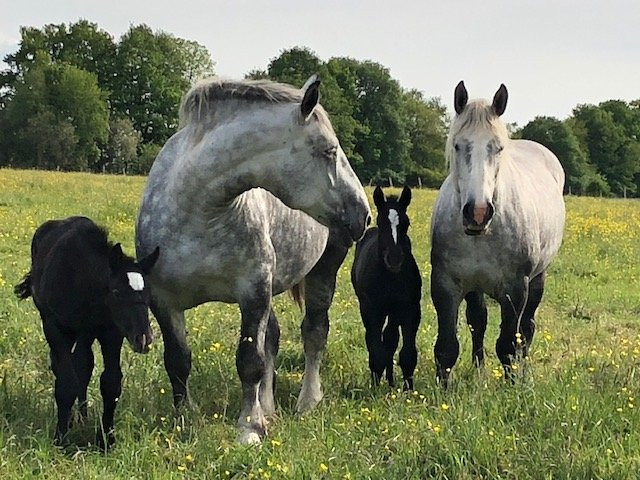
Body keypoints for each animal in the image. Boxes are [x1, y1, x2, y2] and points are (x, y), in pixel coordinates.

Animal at [15, 218, 158, 446]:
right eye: (116, 292)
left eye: (149, 294)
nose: (144, 337)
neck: (80, 277)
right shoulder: (55, 329)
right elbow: (65, 382)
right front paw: (60, 438)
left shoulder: (111, 333)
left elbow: (110, 382)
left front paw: (106, 439)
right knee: (64, 366)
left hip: (86, 334)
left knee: (83, 365)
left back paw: (82, 417)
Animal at [350, 187, 420, 390]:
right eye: (381, 222)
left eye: (406, 223)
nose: (394, 259)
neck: (390, 278)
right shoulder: (373, 310)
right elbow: (376, 348)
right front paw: (375, 384)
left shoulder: (410, 309)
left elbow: (407, 352)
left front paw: (408, 389)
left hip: (394, 312)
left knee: (390, 338)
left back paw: (390, 380)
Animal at [430, 79, 564, 386]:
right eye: (458, 145)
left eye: (498, 148)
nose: (477, 212)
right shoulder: (446, 284)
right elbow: (447, 345)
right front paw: (442, 389)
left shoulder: (515, 289)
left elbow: (509, 343)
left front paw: (512, 384)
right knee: (478, 322)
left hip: (538, 277)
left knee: (527, 328)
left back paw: (524, 372)